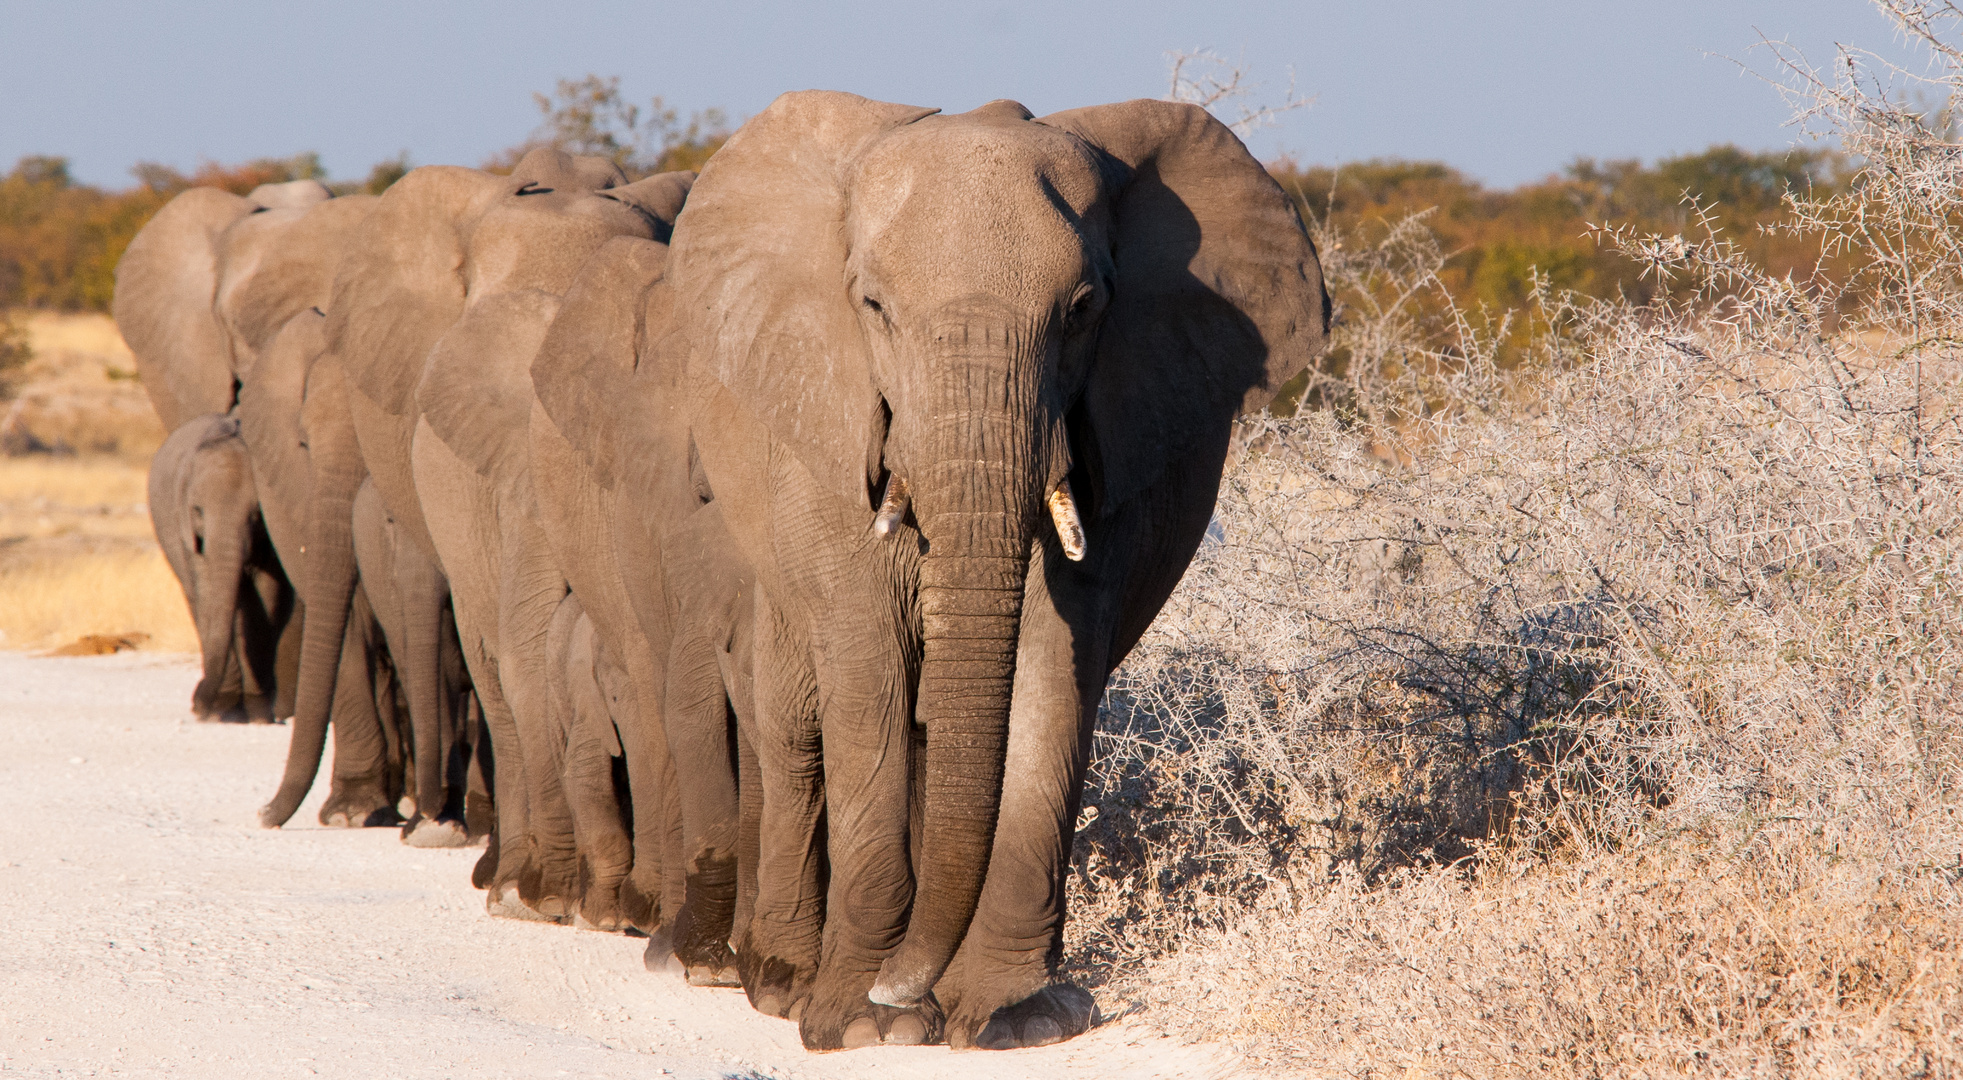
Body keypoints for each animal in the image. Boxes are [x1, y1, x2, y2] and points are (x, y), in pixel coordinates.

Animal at [145, 414, 290, 726]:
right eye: (197, 511)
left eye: (256, 514)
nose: (196, 703)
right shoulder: (186, 527)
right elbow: (211, 591)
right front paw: (220, 711)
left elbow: (268, 596)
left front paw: (259, 714)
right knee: (195, 596)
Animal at [561, 88, 1334, 1052]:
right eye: (872, 305)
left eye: (1084, 307)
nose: (900, 987)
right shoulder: (828, 431)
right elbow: (867, 672)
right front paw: (865, 1023)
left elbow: (1052, 669)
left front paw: (1012, 1017)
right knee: (795, 722)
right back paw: (778, 981)